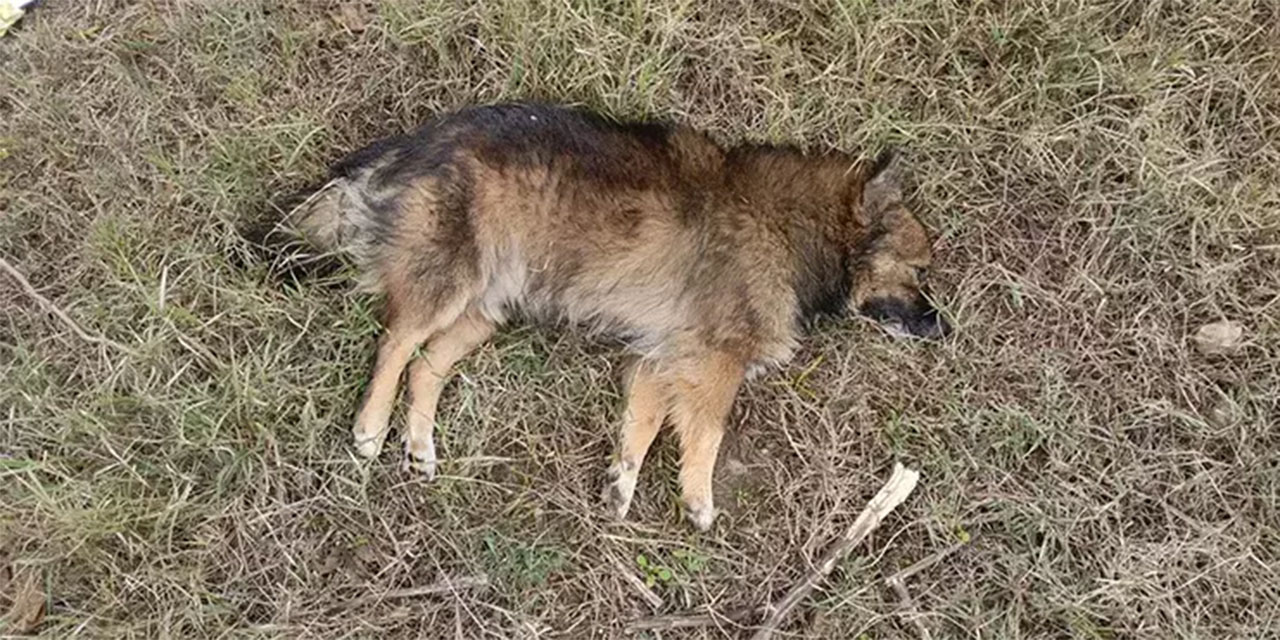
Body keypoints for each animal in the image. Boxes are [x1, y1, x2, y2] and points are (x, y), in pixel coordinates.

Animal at [285, 101, 947, 529]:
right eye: (919, 271)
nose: (943, 326)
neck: (796, 229)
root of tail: (423, 138)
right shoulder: (714, 363)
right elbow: (706, 434)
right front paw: (698, 500)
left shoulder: (660, 357)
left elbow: (641, 427)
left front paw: (620, 486)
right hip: (449, 284)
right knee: (396, 342)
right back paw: (371, 427)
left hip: (487, 309)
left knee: (426, 365)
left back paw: (420, 444)